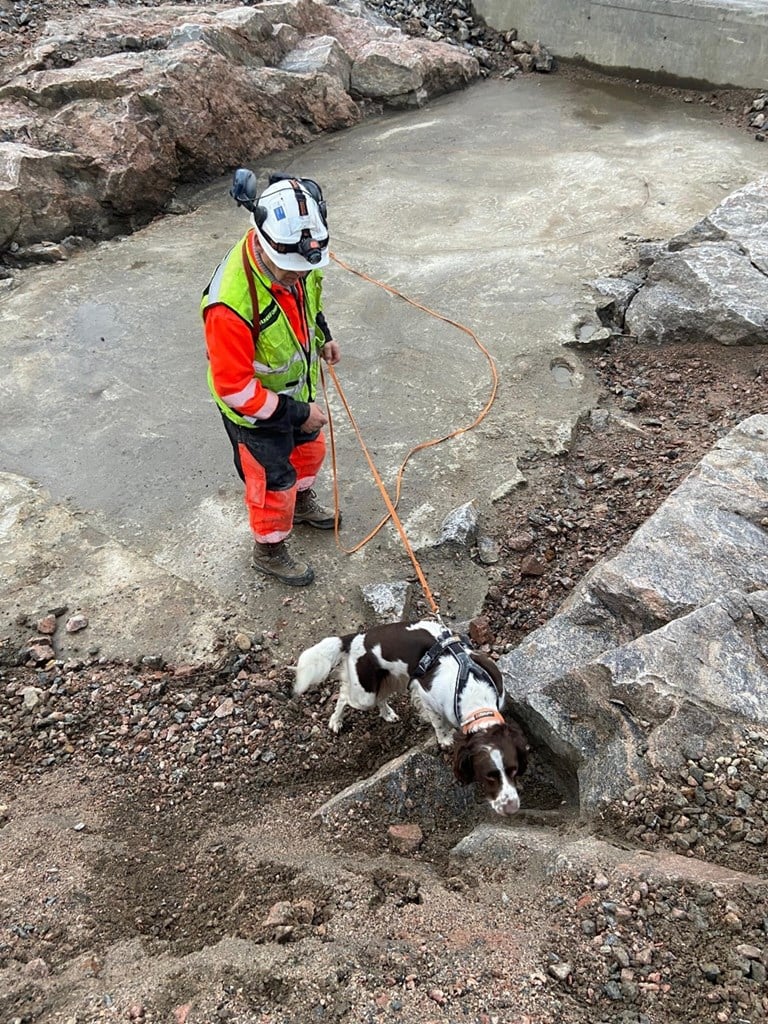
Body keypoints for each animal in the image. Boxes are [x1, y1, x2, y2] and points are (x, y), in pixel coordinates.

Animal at [294, 614, 528, 815]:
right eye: (488, 777)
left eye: (514, 770)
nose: (512, 809)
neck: (475, 695)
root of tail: (355, 637)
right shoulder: (426, 696)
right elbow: (439, 724)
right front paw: (444, 740)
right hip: (364, 694)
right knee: (343, 695)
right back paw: (336, 721)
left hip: (392, 679)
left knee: (379, 698)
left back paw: (388, 714)